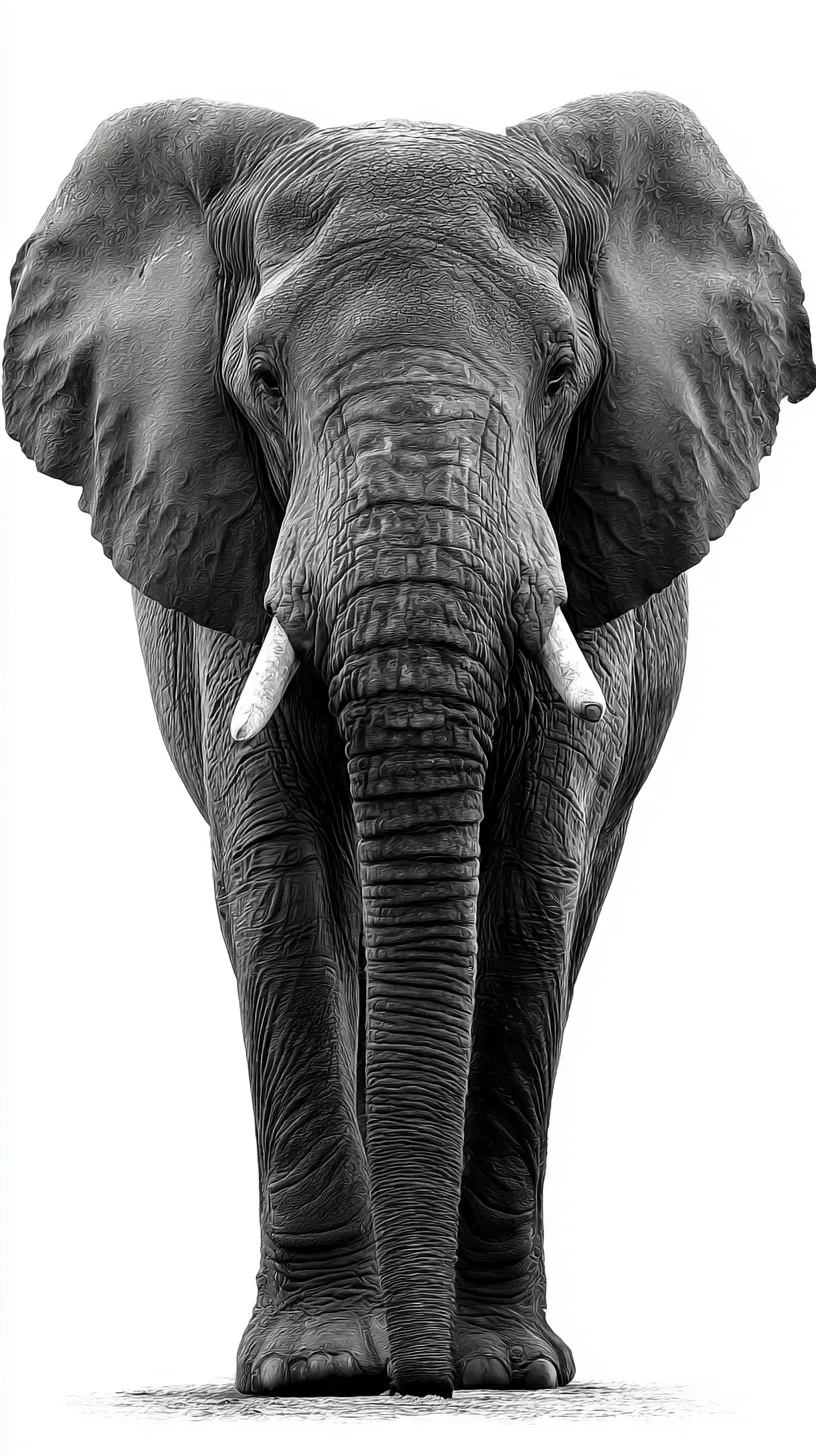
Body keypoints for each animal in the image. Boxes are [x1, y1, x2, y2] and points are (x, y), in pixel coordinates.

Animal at [4, 91, 814, 1399]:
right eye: (262, 377)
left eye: (562, 371)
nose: (417, 1384)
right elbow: (276, 876)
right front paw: (320, 1369)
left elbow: (529, 888)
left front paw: (504, 1366)